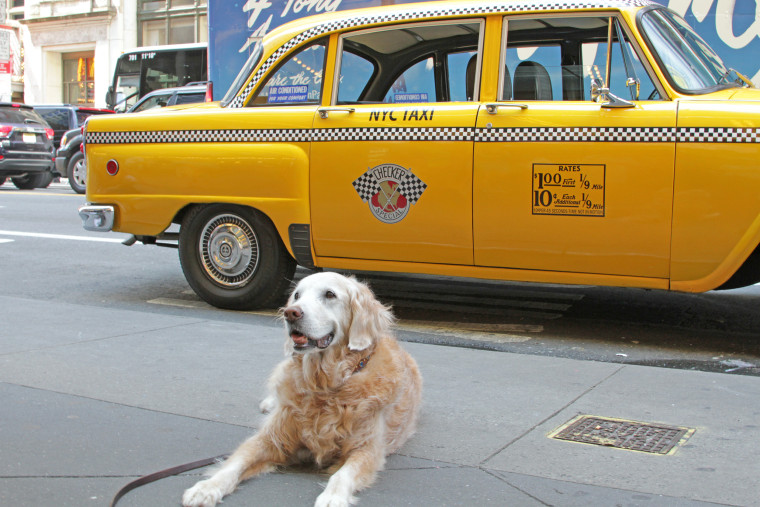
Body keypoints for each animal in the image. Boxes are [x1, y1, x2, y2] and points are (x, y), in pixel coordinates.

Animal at [182, 272, 424, 506]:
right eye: (297, 295)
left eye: (329, 294)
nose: (291, 313)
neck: (325, 386)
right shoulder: (271, 437)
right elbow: (235, 463)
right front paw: (207, 488)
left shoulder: (366, 448)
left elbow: (342, 475)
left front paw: (332, 497)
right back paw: (269, 404)